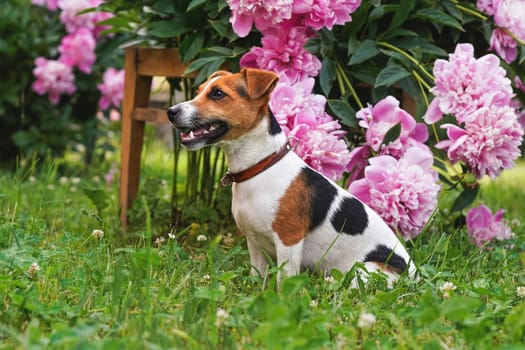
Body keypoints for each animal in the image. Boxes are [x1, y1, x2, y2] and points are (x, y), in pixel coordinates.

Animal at [167, 68, 414, 288]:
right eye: (198, 91)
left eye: (217, 94)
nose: (170, 111)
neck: (260, 167)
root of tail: (414, 276)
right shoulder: (254, 242)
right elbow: (257, 277)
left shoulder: (289, 242)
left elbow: (283, 280)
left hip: (363, 272)